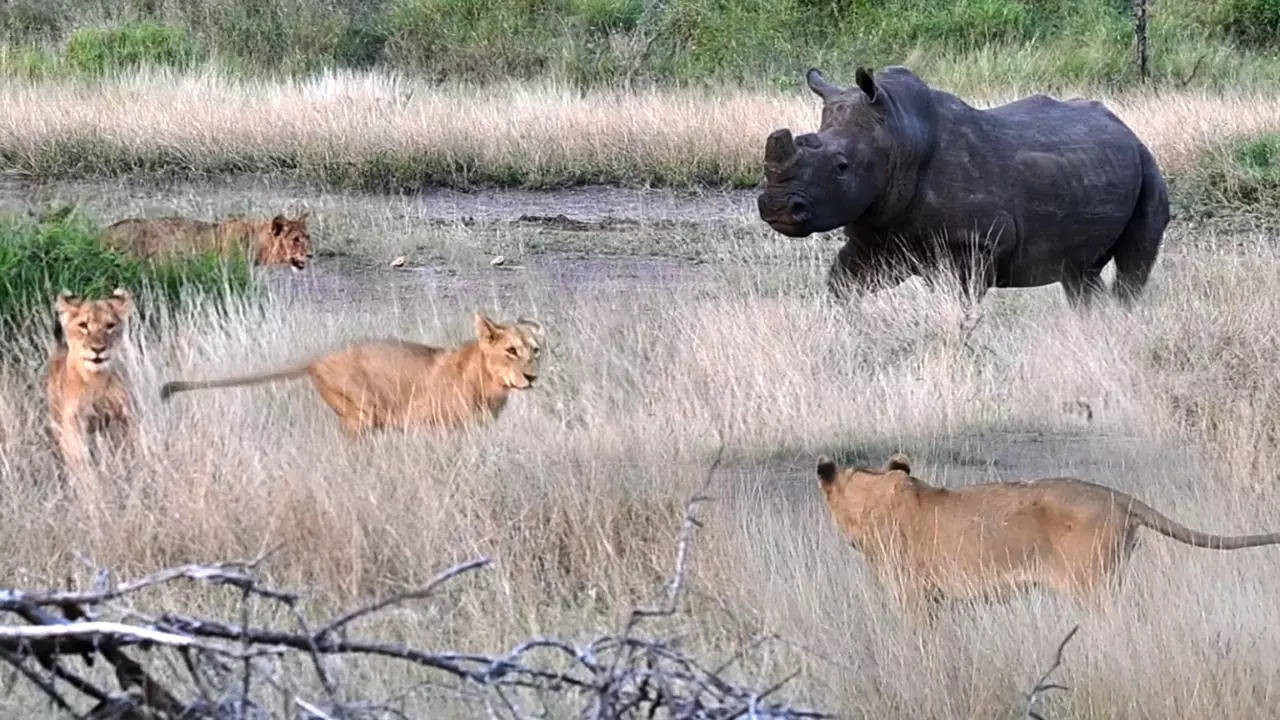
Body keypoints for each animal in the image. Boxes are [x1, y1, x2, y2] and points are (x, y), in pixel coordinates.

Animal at [46, 288, 137, 474]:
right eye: (83, 325)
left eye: (110, 326)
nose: (98, 349)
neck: (96, 379)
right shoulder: (74, 422)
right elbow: (79, 456)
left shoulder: (126, 413)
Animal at [160, 308, 540, 430]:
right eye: (511, 351)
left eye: (535, 351)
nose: (532, 376)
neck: (492, 387)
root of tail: (318, 359)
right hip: (361, 415)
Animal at [757, 67, 1172, 302]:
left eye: (842, 166)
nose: (776, 207)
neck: (897, 137)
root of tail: (1126, 129)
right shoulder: (878, 235)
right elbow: (841, 286)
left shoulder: (975, 244)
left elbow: (958, 306)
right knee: (1080, 274)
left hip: (1148, 165)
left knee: (1134, 265)